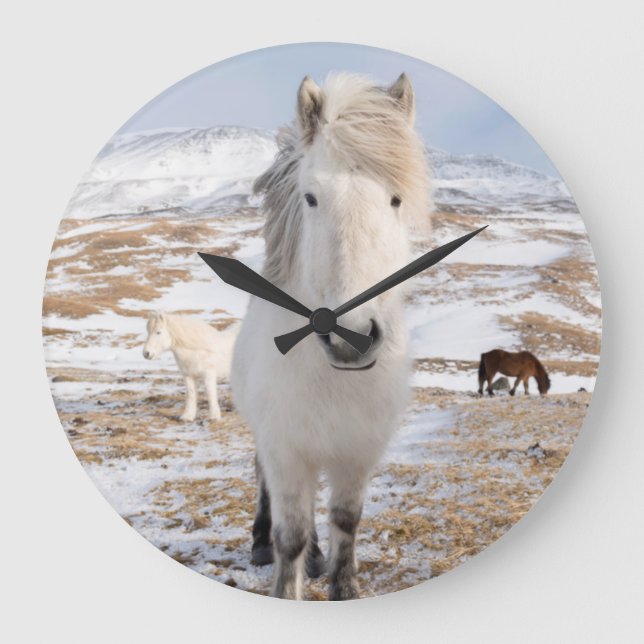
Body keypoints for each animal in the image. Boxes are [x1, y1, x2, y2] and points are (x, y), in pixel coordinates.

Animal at [231, 72, 433, 600]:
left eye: (395, 199)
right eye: (311, 198)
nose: (350, 337)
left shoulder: (357, 452)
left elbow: (346, 520)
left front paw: (344, 587)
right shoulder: (285, 450)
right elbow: (291, 536)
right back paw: (260, 545)